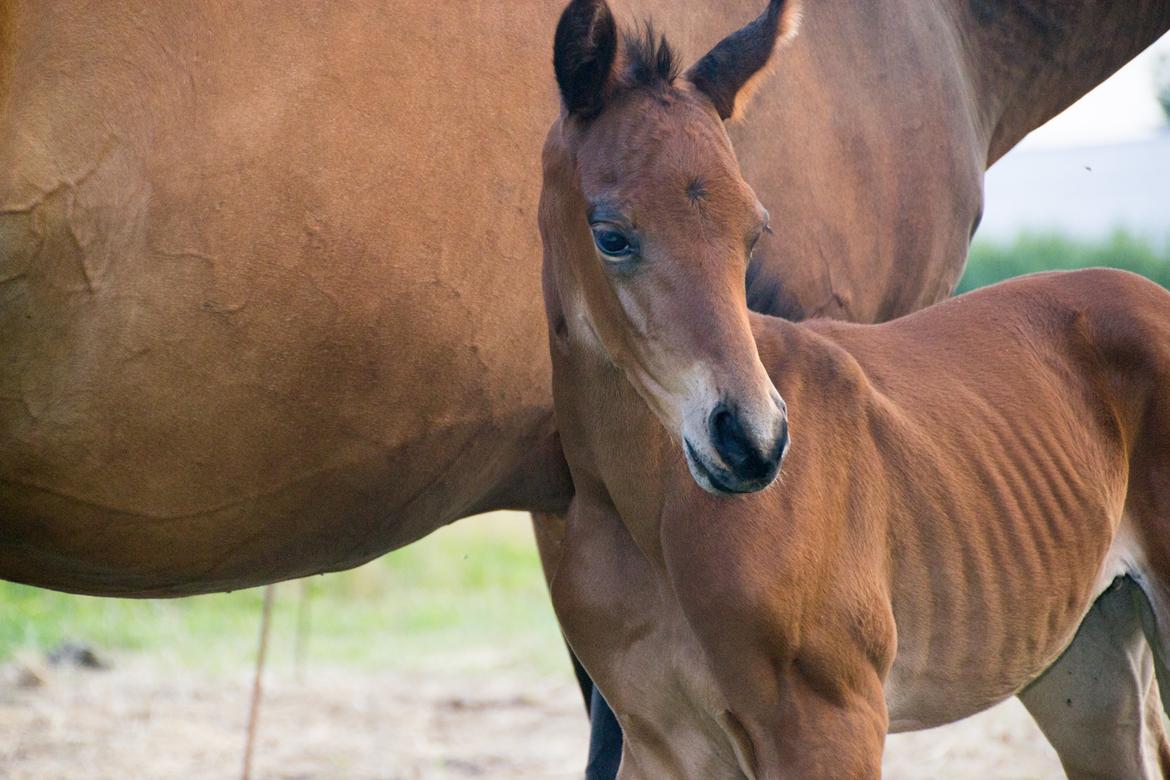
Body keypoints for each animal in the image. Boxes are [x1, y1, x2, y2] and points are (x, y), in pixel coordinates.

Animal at [540, 3, 1170, 776]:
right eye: (611, 235)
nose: (752, 441)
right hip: (1086, 665)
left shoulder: (832, 722)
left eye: (755, 231)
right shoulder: (660, 742)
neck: (646, 509)